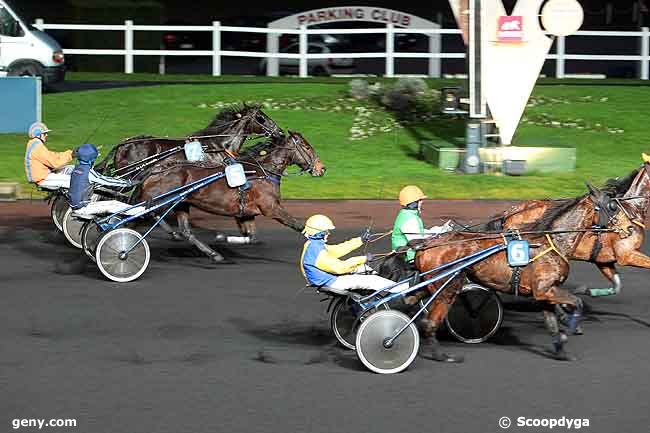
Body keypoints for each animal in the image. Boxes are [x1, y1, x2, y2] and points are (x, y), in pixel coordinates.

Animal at [132, 130, 324, 262]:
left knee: (186, 232)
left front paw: (222, 237)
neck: (263, 172)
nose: (322, 168)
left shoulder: (246, 213)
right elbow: (299, 225)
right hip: (158, 201)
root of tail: (155, 169)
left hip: (181, 203)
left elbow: (252, 238)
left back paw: (213, 253)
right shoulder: (271, 207)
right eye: (307, 147)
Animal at [412, 186, 612, 362]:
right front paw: (569, 330)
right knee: (430, 322)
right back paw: (442, 356)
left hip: (430, 284)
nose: (620, 229)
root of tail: (425, 245)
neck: (551, 241)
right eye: (612, 206)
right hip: (447, 287)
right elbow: (577, 302)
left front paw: (561, 351)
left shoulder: (545, 293)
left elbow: (552, 324)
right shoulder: (544, 289)